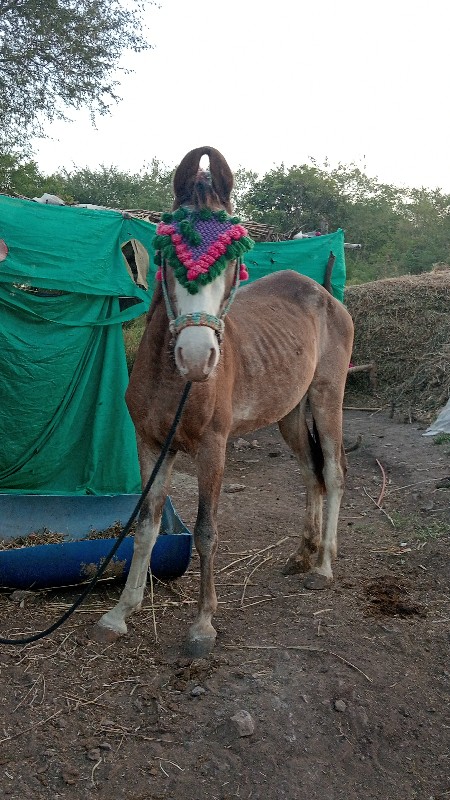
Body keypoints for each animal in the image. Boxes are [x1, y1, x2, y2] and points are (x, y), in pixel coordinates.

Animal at [94, 148, 356, 656]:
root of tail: (326, 295)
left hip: (326, 399)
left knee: (333, 472)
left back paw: (324, 566)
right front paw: (121, 612)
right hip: (290, 416)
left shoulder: (213, 448)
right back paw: (302, 554)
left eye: (233, 256)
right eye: (166, 251)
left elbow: (206, 529)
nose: (197, 357)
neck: (174, 384)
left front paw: (202, 625)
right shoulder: (151, 445)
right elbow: (146, 523)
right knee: (310, 474)